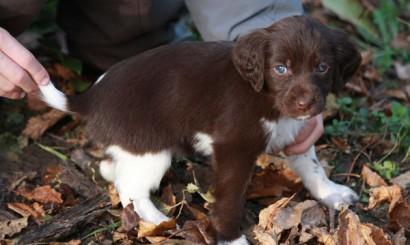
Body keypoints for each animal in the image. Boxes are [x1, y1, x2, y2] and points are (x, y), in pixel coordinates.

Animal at [38, 15, 358, 245]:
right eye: (281, 69)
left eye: (322, 67)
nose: (306, 104)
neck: (267, 97)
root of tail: (91, 96)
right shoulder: (233, 147)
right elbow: (229, 198)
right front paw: (232, 239)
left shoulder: (295, 131)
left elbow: (312, 166)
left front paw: (332, 193)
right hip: (150, 151)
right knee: (130, 189)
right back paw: (158, 221)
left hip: (132, 147)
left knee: (111, 169)